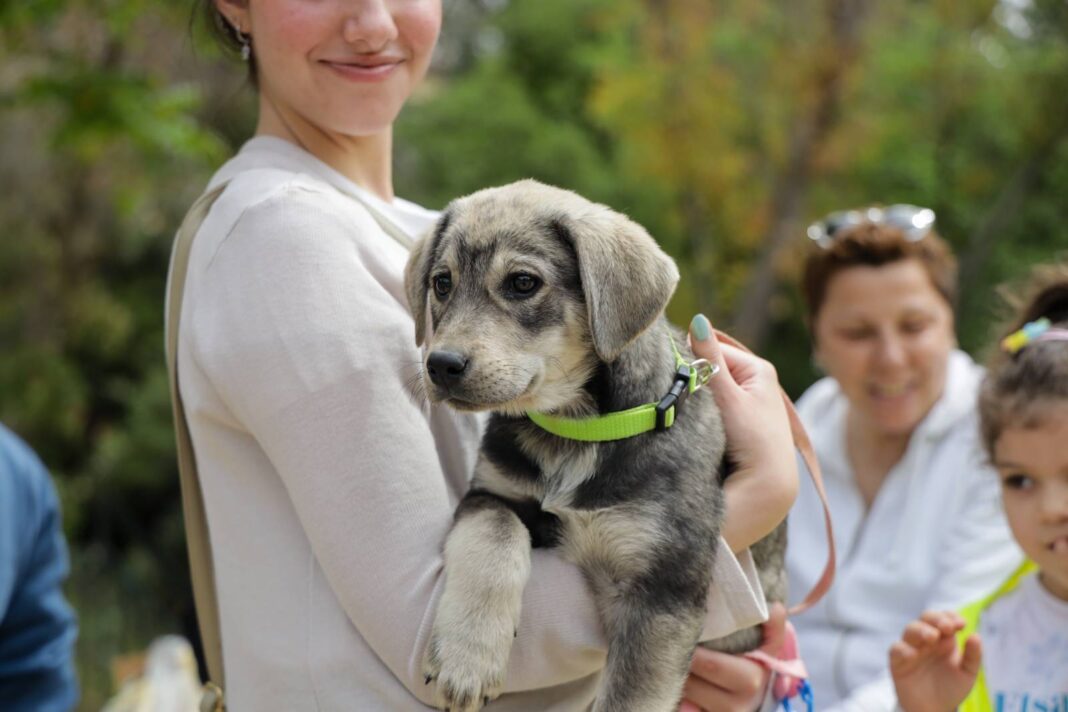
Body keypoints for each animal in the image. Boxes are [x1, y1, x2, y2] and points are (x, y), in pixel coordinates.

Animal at [401, 181, 786, 708]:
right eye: (442, 283)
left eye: (523, 283)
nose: (440, 365)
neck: (575, 431)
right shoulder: (492, 493)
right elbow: (493, 538)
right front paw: (467, 658)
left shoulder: (663, 584)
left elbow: (629, 699)